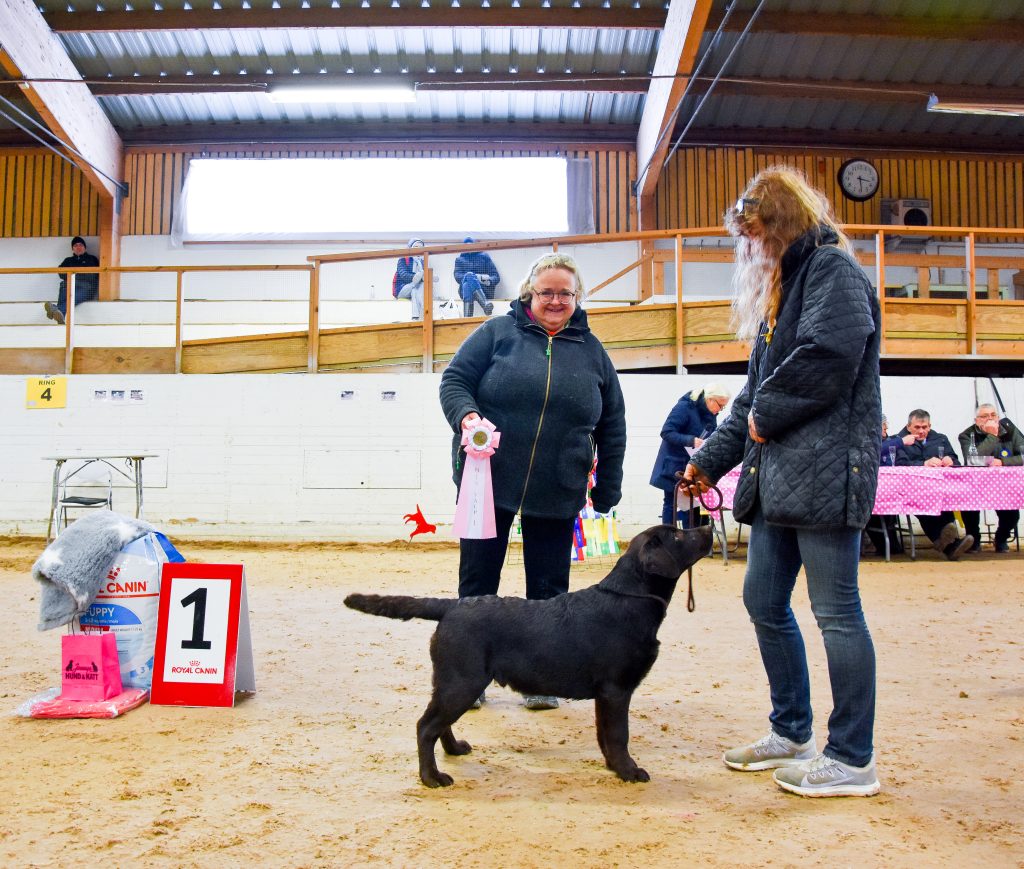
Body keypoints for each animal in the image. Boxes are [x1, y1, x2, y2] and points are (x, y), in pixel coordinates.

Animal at [344, 522, 712, 786]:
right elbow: (619, 735)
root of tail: (451, 606)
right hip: (463, 682)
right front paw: (629, 772)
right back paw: (431, 778)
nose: (708, 527)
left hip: (453, 682)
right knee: (425, 726)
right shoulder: (616, 689)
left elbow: (604, 734)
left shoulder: (604, 695)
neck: (629, 597)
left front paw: (612, 766)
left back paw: (455, 749)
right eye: (678, 535)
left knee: (438, 724)